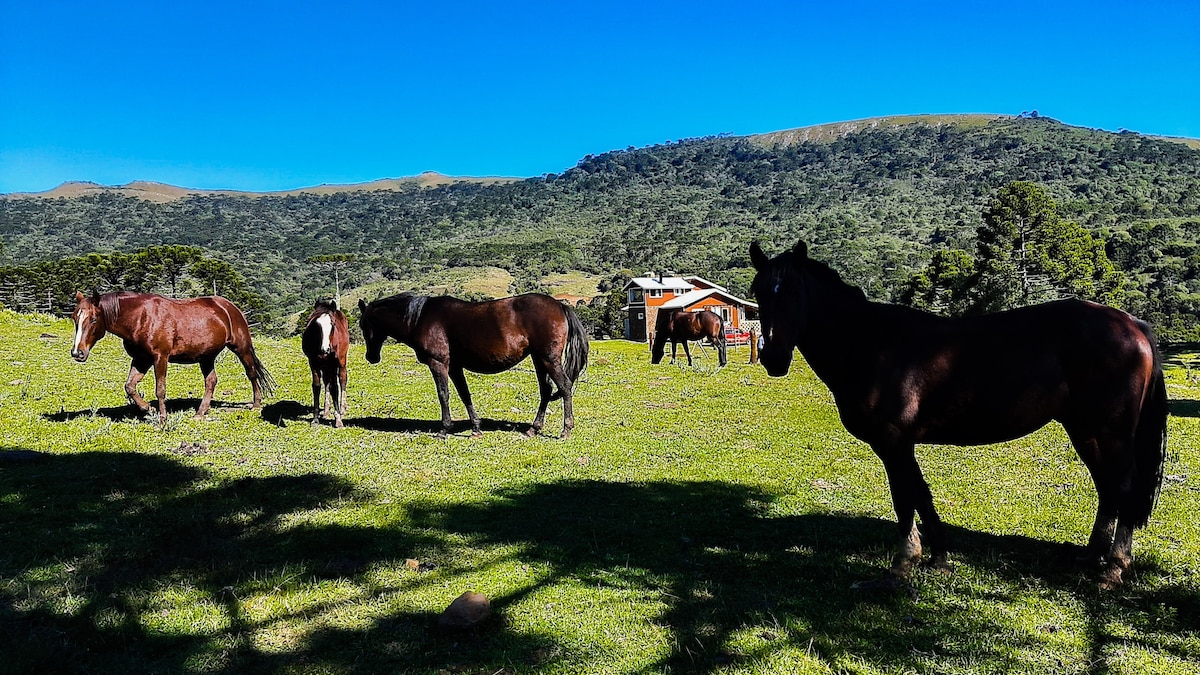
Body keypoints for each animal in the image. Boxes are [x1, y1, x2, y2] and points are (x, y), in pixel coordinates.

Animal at [70, 288, 276, 420]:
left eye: (94, 319)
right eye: (75, 318)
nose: (77, 353)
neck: (141, 318)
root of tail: (229, 307)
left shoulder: (160, 357)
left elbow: (160, 389)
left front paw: (162, 417)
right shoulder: (141, 359)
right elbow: (130, 386)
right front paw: (148, 409)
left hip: (241, 347)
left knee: (251, 373)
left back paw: (256, 404)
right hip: (206, 357)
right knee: (211, 381)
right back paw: (200, 413)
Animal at [302, 297, 350, 425]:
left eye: (332, 324)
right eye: (317, 325)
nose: (326, 349)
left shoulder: (333, 363)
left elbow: (335, 387)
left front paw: (338, 419)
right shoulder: (313, 362)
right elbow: (317, 386)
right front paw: (315, 418)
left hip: (341, 360)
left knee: (342, 379)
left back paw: (342, 408)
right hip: (324, 366)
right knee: (327, 381)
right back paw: (327, 410)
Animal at [357, 291, 588, 439]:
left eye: (363, 324)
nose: (371, 357)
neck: (420, 318)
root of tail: (560, 305)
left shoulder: (438, 363)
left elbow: (443, 395)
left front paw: (444, 430)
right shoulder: (454, 367)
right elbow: (464, 394)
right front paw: (476, 428)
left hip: (549, 359)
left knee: (565, 387)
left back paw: (565, 430)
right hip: (539, 359)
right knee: (546, 390)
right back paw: (533, 429)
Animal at [744, 239, 1166, 586]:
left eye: (794, 291)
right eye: (759, 293)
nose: (774, 357)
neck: (867, 345)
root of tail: (1131, 323)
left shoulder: (894, 442)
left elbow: (905, 498)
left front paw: (903, 564)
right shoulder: (900, 445)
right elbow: (922, 496)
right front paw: (938, 559)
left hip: (1110, 432)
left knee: (1123, 487)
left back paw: (1113, 568)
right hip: (1085, 430)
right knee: (1107, 488)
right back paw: (1091, 558)